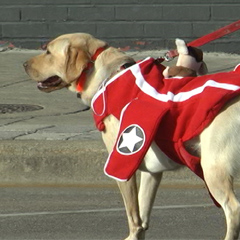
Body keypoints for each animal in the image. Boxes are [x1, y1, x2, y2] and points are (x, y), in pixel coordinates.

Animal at [24, 33, 240, 240]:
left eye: (48, 52)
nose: (24, 65)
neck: (108, 74)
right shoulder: (152, 170)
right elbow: (143, 213)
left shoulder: (123, 160)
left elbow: (133, 214)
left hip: (213, 168)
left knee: (234, 208)